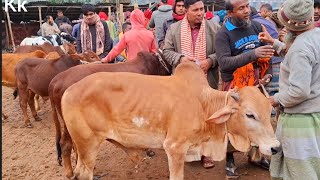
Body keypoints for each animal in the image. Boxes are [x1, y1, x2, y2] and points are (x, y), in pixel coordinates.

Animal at [60, 61, 280, 179]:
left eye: (270, 111)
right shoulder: (174, 147)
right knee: (83, 173)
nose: (276, 147)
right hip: (88, 145)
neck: (203, 104)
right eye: (249, 114)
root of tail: (68, 90)